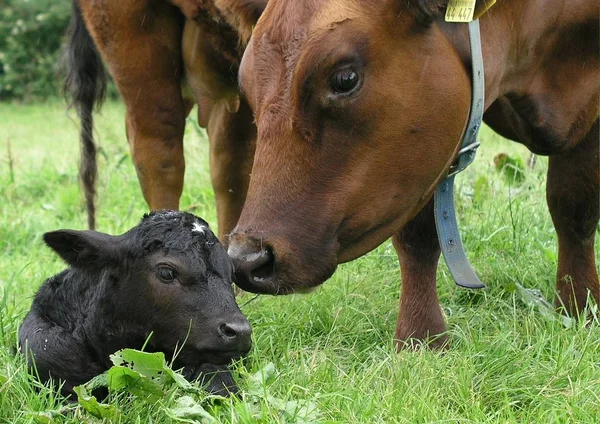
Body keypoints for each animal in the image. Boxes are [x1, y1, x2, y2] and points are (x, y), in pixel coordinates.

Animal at [226, 0, 600, 348]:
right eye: (246, 86)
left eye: (345, 79)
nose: (246, 259)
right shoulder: (421, 160)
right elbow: (418, 236)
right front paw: (422, 337)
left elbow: (574, 209)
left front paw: (579, 308)